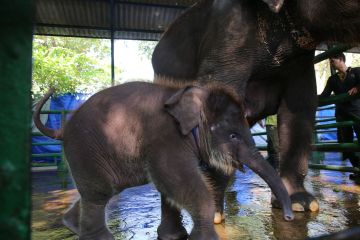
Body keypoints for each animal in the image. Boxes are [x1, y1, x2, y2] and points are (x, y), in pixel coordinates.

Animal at [33, 81, 292, 240]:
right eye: (233, 136)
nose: (288, 217)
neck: (192, 94)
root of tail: (62, 128)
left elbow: (170, 188)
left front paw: (174, 236)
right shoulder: (166, 138)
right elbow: (178, 180)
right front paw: (205, 238)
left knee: (103, 191)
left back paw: (70, 224)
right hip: (85, 149)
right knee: (99, 194)